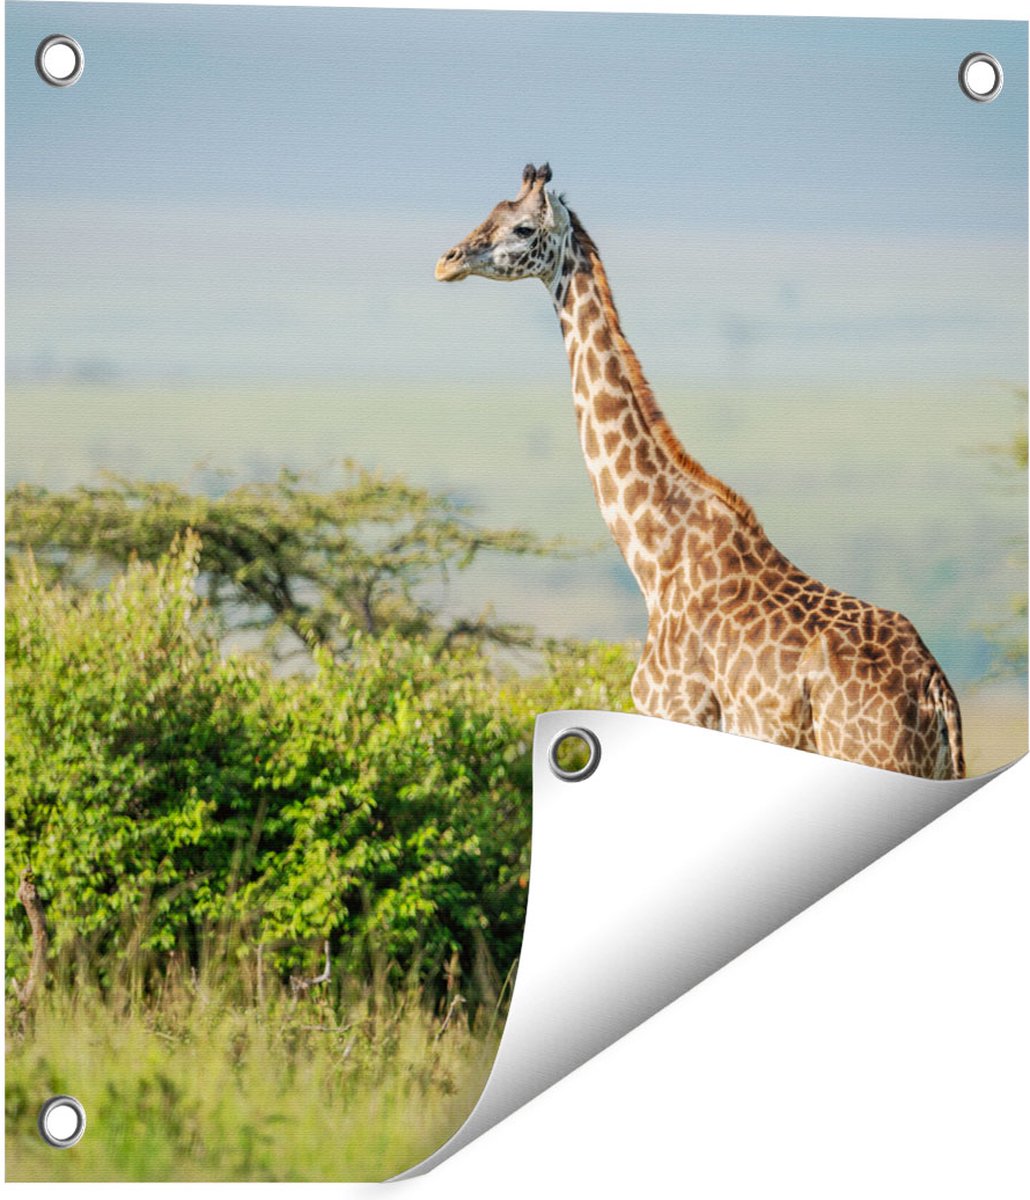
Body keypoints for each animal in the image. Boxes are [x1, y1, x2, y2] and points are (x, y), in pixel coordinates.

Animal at [435, 164, 964, 780]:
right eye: (490, 212)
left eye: (522, 228)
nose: (447, 260)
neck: (654, 554)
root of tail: (937, 690)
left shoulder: (678, 711)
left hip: (873, 755)